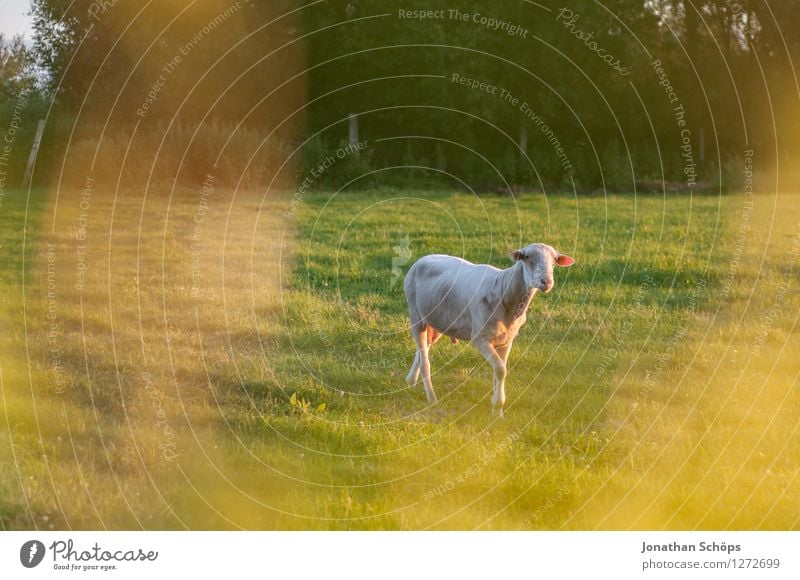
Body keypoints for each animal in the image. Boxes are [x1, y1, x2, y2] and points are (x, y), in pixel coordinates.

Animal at [404, 242, 572, 414]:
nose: (546, 282)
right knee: (425, 361)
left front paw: (497, 413)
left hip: (437, 321)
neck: (503, 290)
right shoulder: (480, 338)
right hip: (416, 315)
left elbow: (499, 372)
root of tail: (423, 258)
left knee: (422, 351)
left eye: (554, 261)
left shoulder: (507, 340)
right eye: (527, 258)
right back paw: (432, 399)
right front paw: (497, 403)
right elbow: (500, 369)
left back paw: (411, 381)